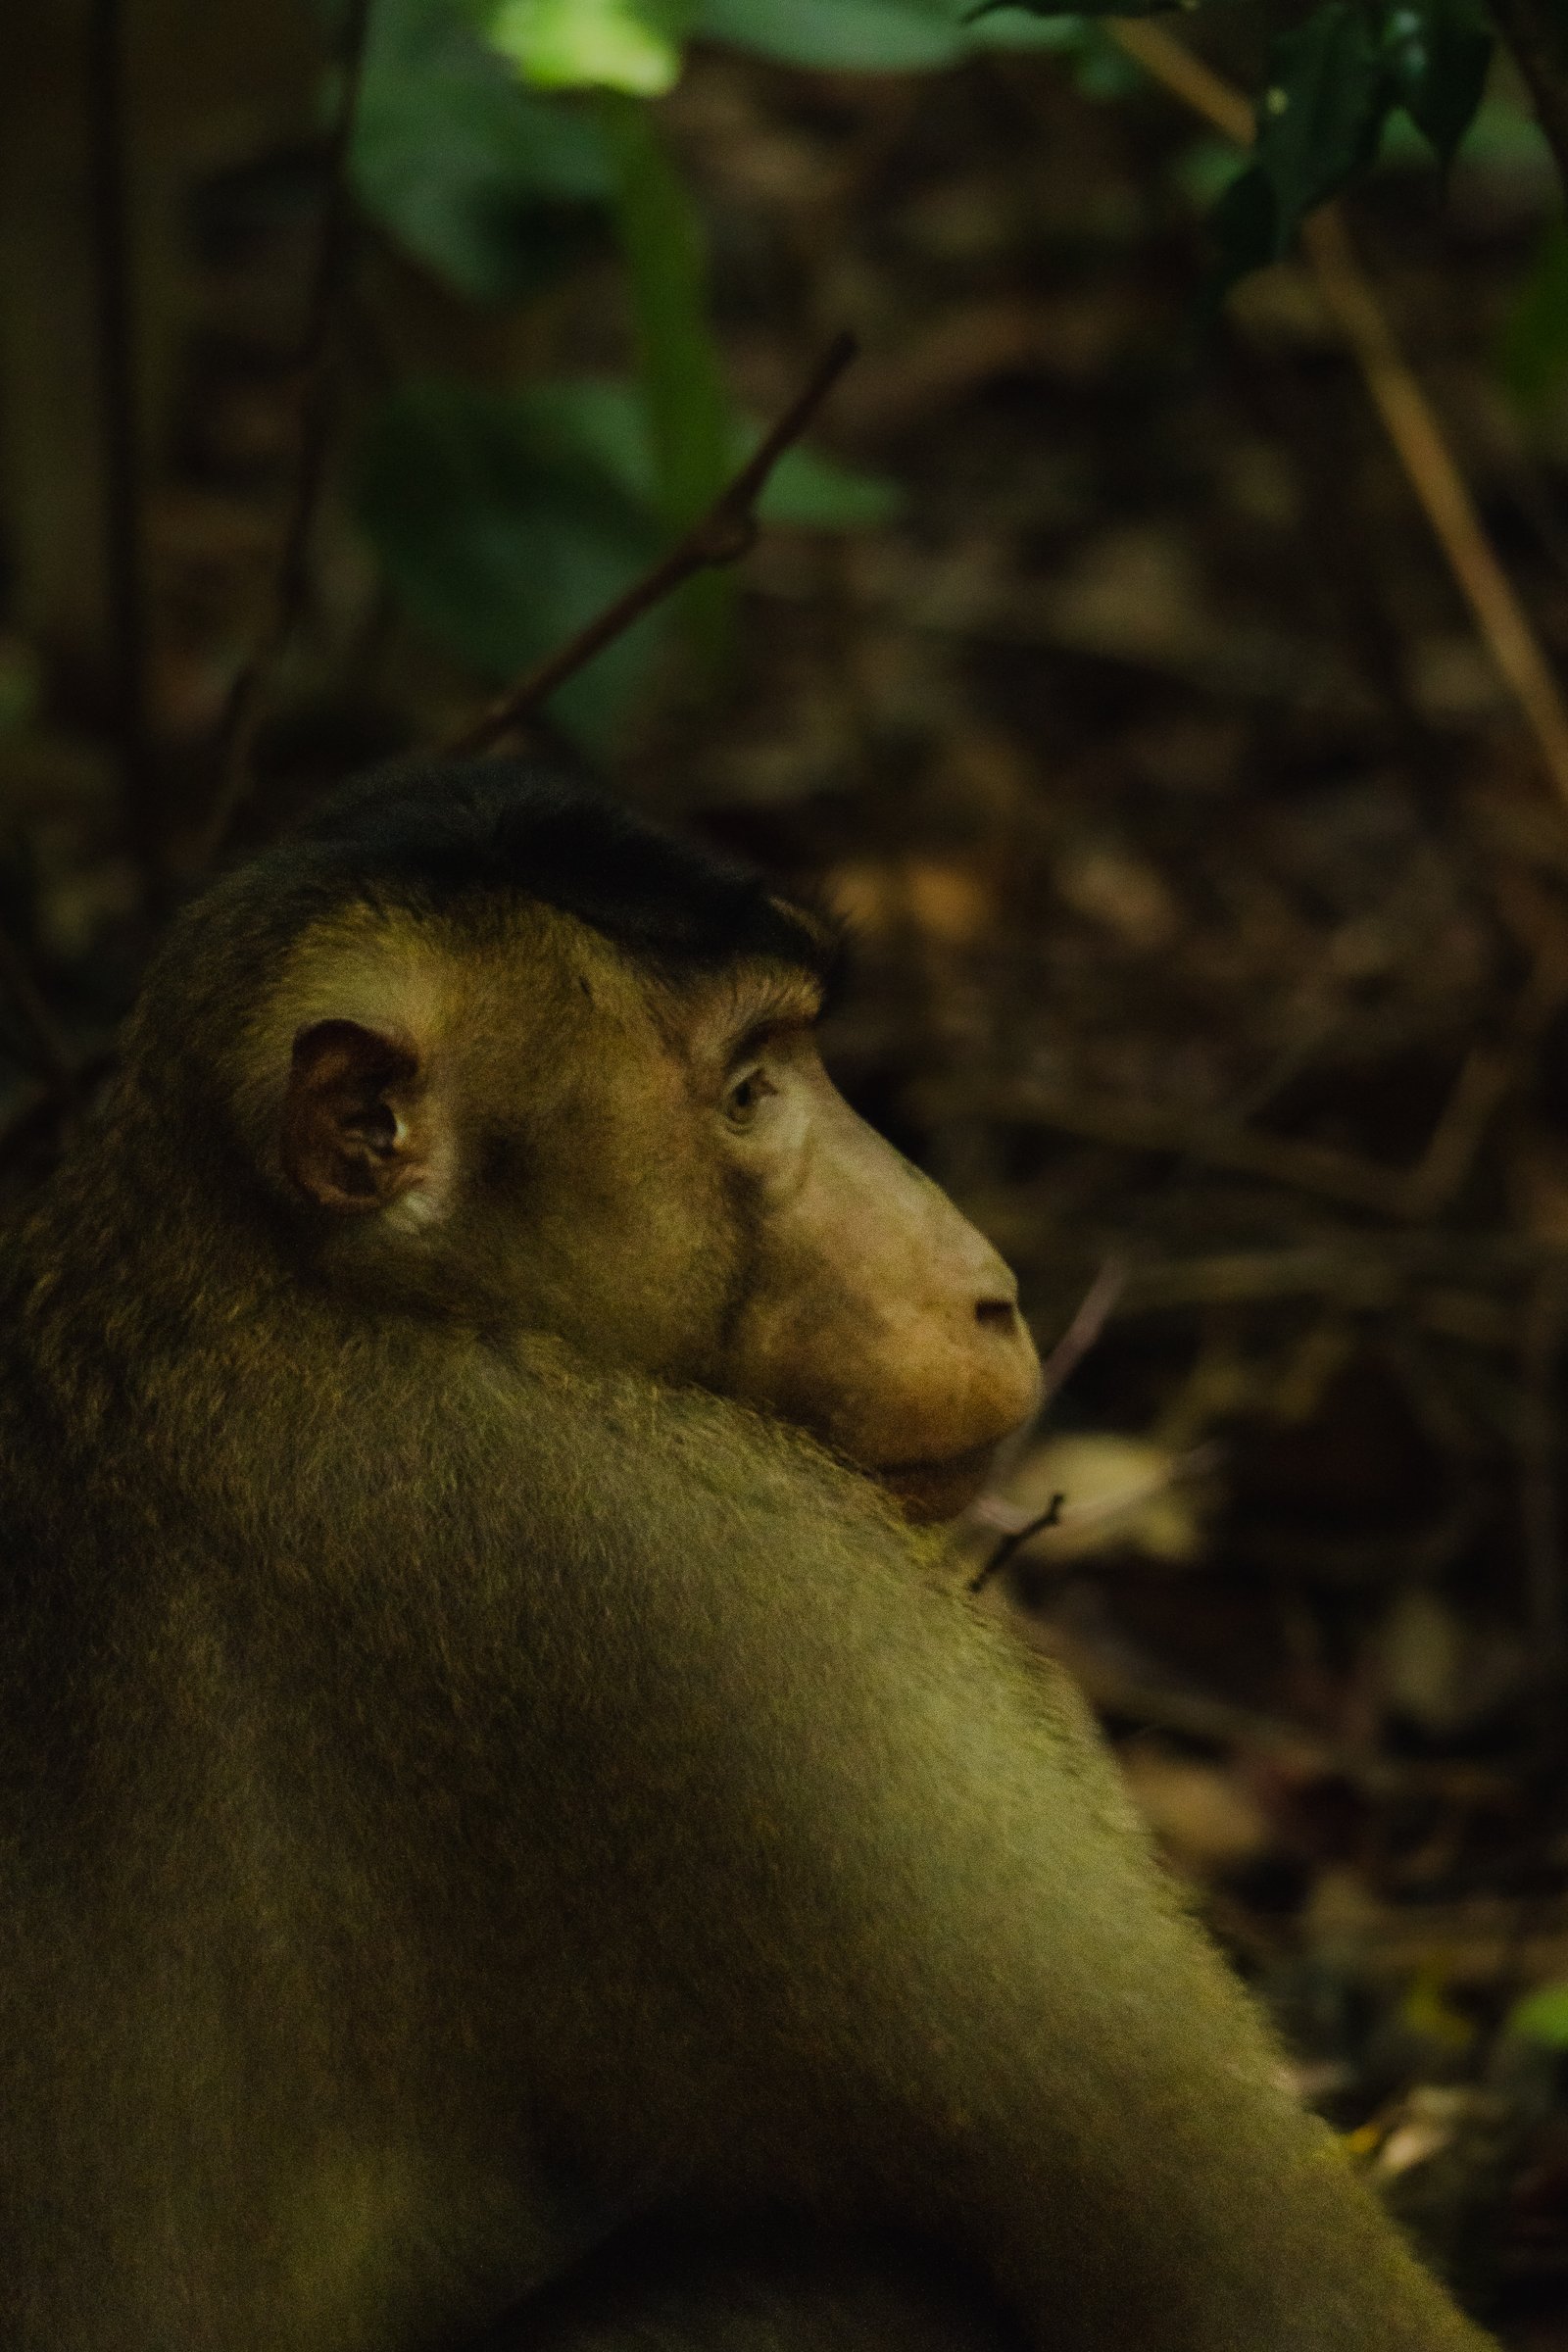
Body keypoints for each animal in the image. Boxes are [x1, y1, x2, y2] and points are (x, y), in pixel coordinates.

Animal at [0, 756, 1494, 2352]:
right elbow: (1272, 2294)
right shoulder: (719, 1600)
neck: (284, 1288)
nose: (987, 1289)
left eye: (788, 1062)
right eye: (748, 1094)